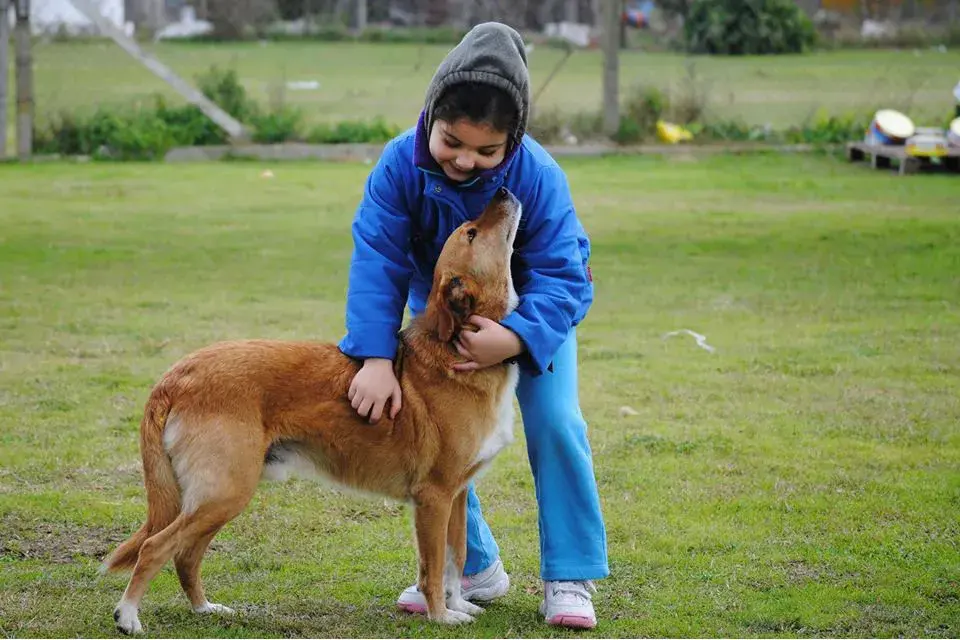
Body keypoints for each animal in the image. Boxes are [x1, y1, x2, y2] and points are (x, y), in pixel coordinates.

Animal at [103, 186, 524, 636]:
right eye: (471, 232)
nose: (503, 190)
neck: (457, 347)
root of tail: (177, 374)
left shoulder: (457, 495)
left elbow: (456, 559)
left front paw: (459, 605)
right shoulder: (434, 498)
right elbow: (433, 567)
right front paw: (441, 615)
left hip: (217, 497)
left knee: (185, 555)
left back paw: (205, 609)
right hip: (224, 491)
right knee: (155, 546)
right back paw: (128, 615)